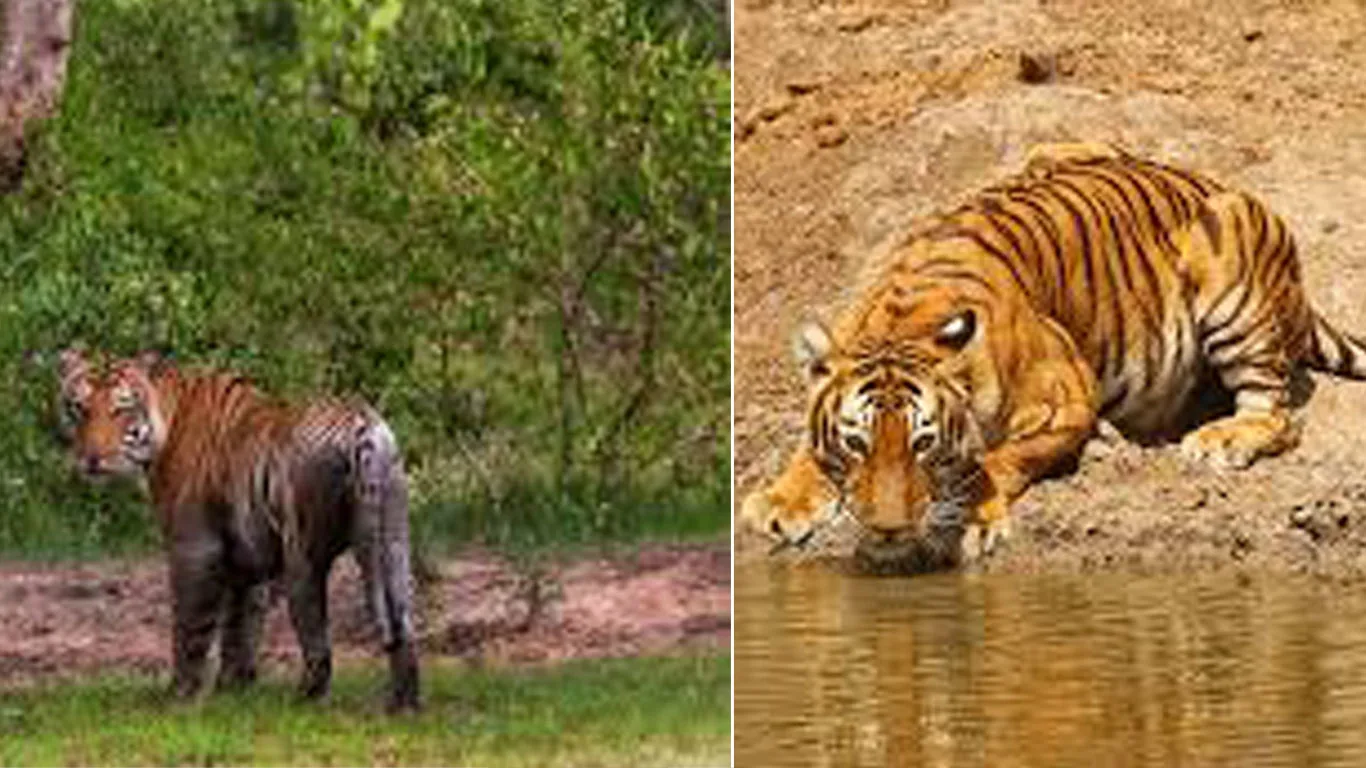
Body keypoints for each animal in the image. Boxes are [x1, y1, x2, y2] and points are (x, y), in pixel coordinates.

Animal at [57, 347, 420, 711]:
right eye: (79, 407)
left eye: (121, 408)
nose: (92, 459)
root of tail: (363, 423)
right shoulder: (246, 559)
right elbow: (240, 625)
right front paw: (232, 691)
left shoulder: (193, 548)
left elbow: (191, 625)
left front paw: (179, 695)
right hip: (393, 543)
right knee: (402, 621)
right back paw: (403, 705)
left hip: (302, 557)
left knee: (318, 641)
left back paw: (303, 701)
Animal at [742, 142, 1366, 570]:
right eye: (857, 443)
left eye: (923, 445)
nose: (890, 531)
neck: (907, 316)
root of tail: (1204, 176)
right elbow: (806, 449)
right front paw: (779, 501)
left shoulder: (1066, 401)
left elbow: (993, 464)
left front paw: (973, 517)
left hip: (1231, 258)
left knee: (1278, 413)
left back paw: (1221, 438)